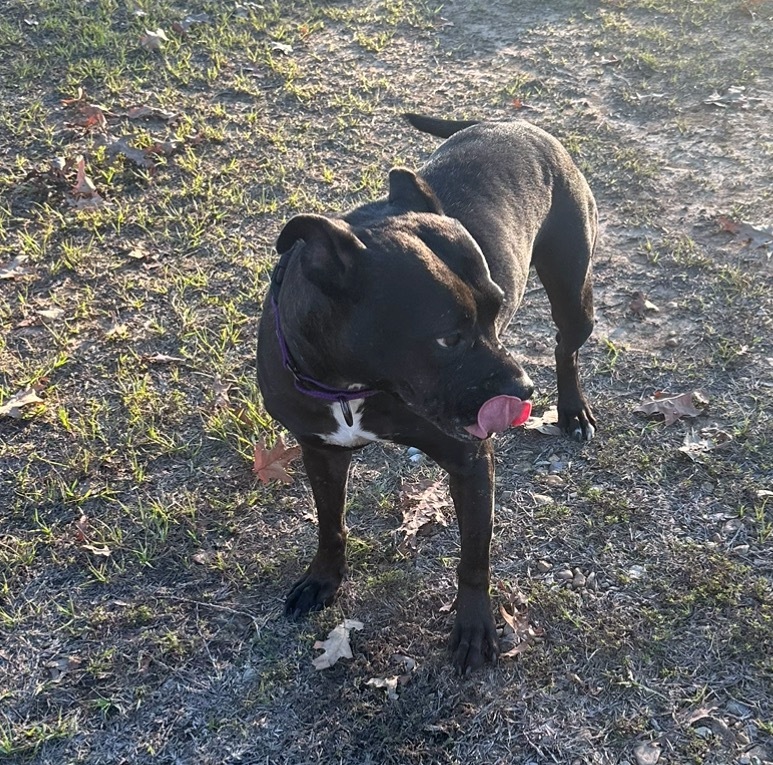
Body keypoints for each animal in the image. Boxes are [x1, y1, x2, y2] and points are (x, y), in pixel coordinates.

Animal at [256, 113, 596, 676]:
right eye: (448, 337)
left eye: (497, 306)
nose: (523, 390)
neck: (351, 384)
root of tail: (512, 119)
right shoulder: (319, 451)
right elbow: (330, 522)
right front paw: (323, 577)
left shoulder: (469, 461)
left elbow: (474, 556)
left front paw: (475, 627)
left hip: (574, 293)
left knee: (566, 347)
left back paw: (572, 410)